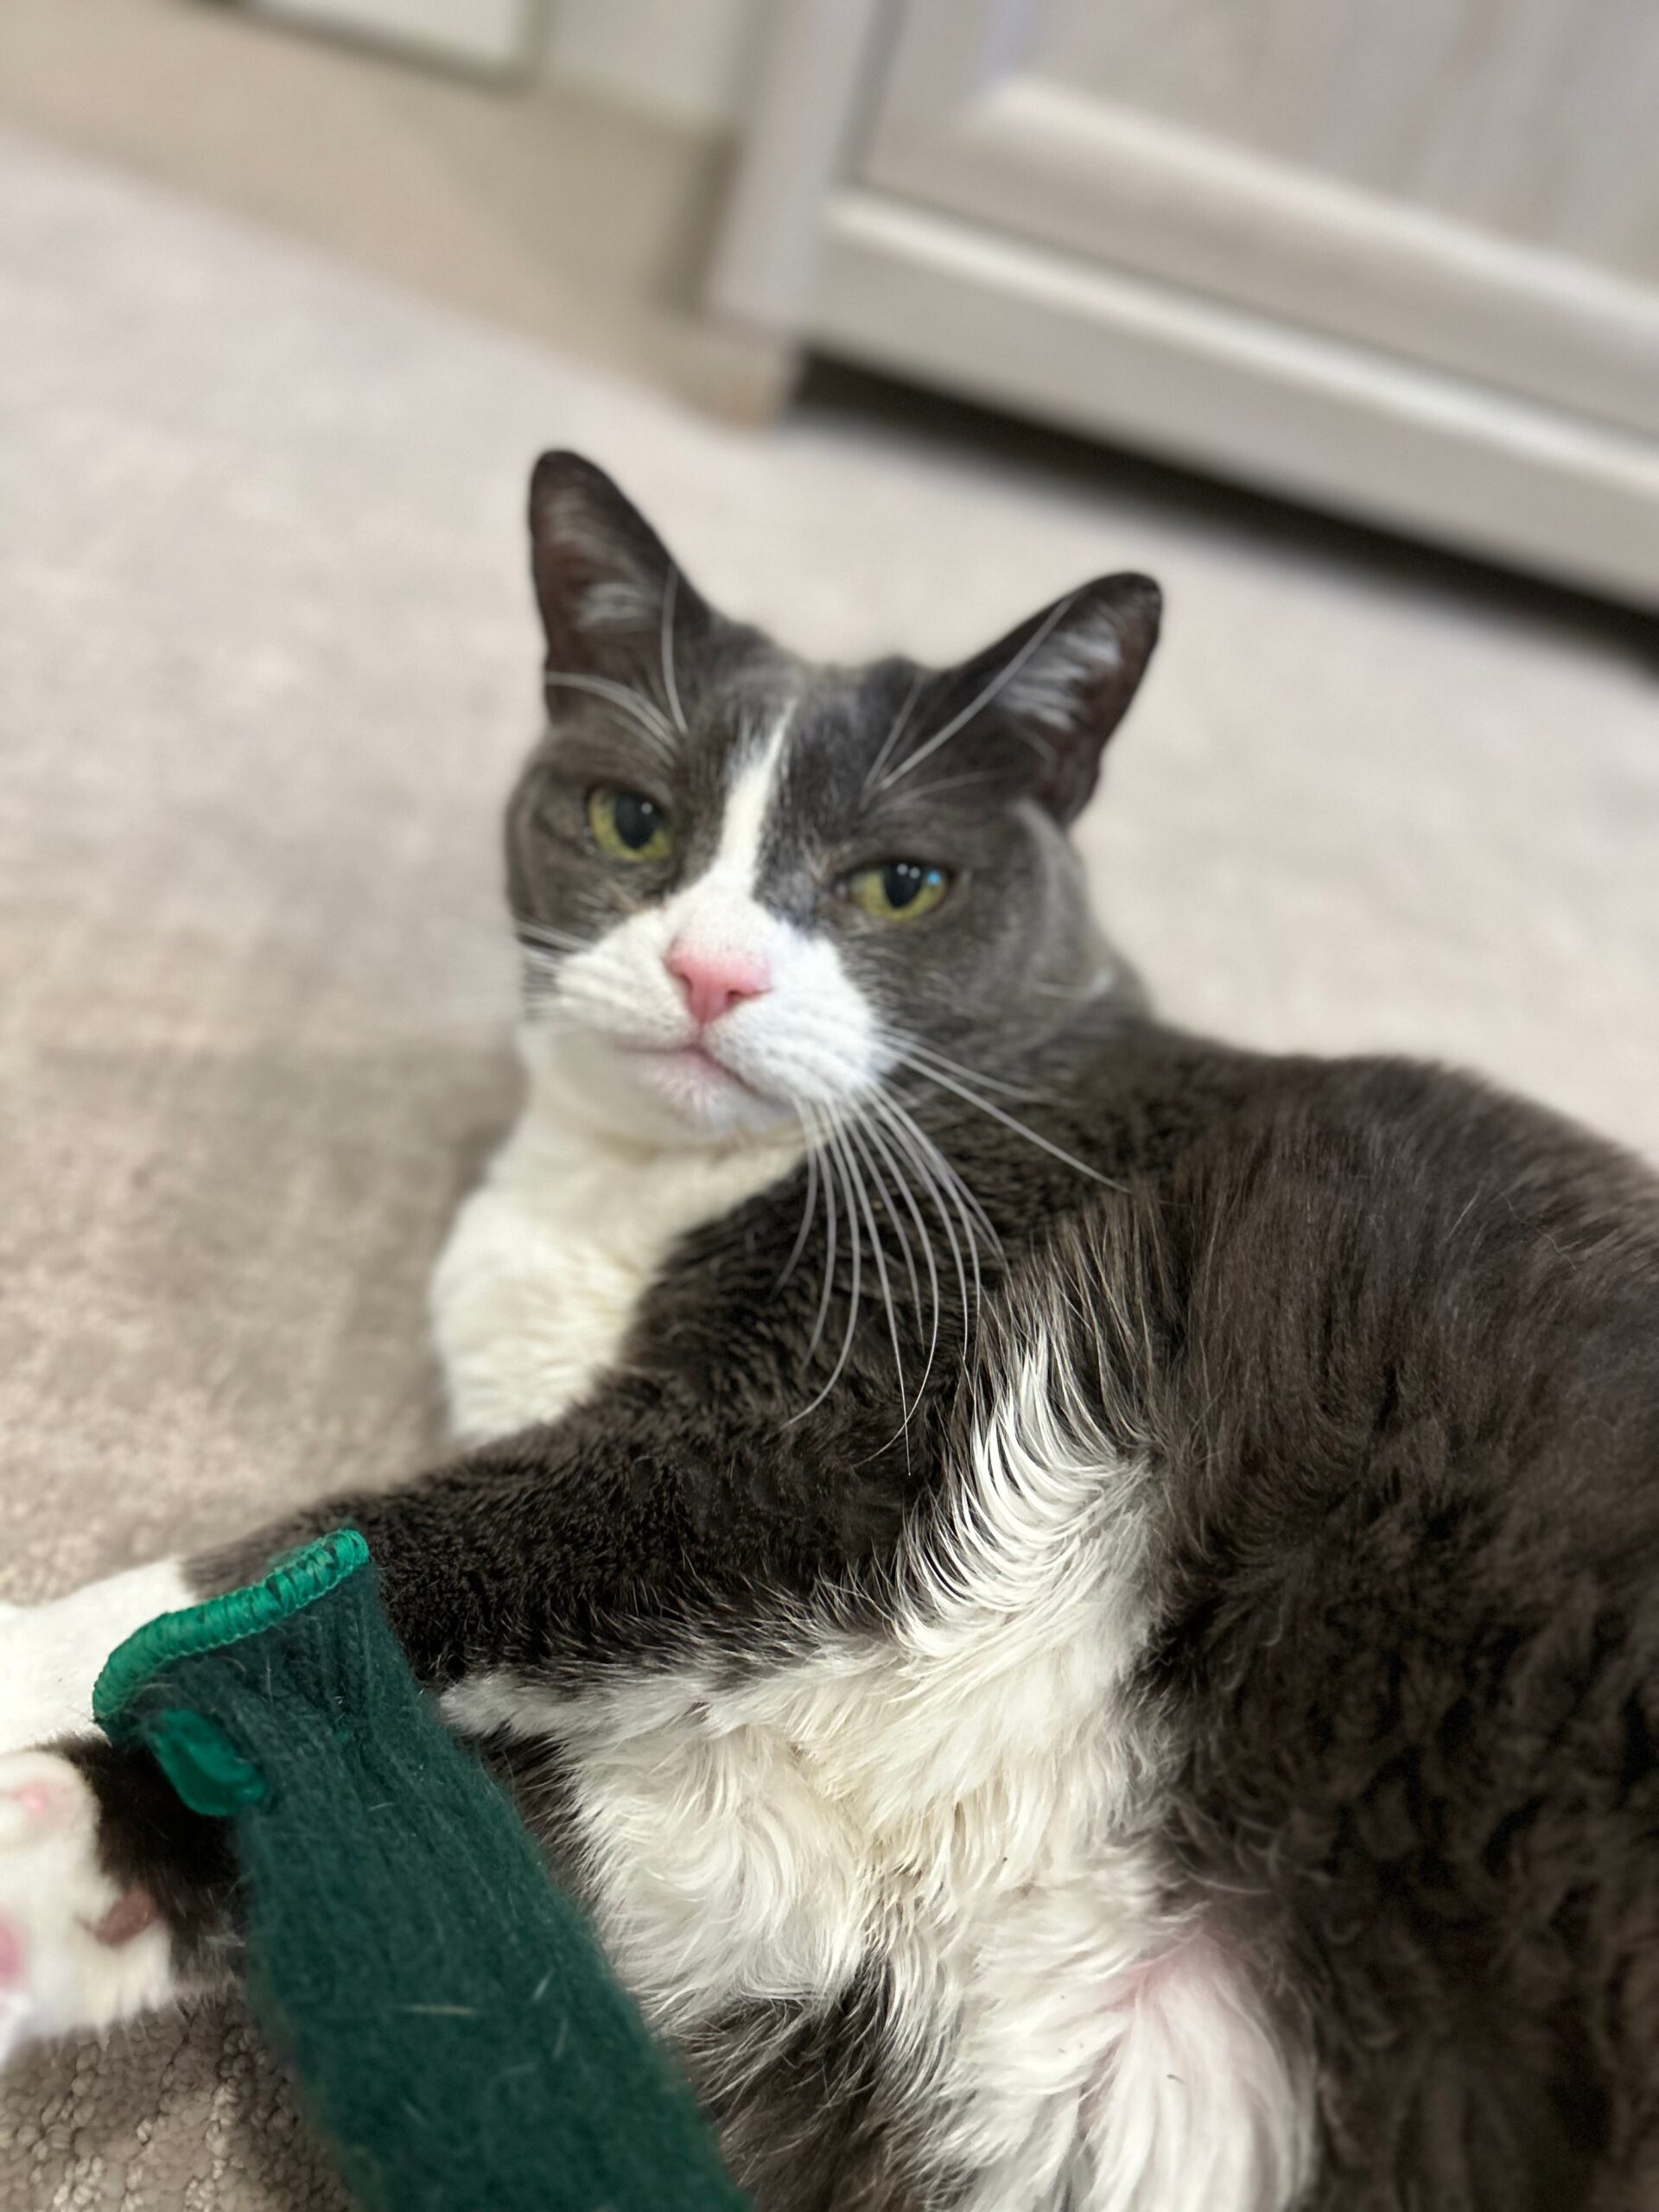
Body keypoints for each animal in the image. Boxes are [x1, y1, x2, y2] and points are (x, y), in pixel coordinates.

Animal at [3, 453, 1659, 2212]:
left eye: (898, 884)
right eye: (631, 820)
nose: (711, 971)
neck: (642, 1191)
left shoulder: (839, 1422)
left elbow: (348, 1554)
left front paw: (24, 1656)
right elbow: (388, 1810)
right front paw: (58, 1856)